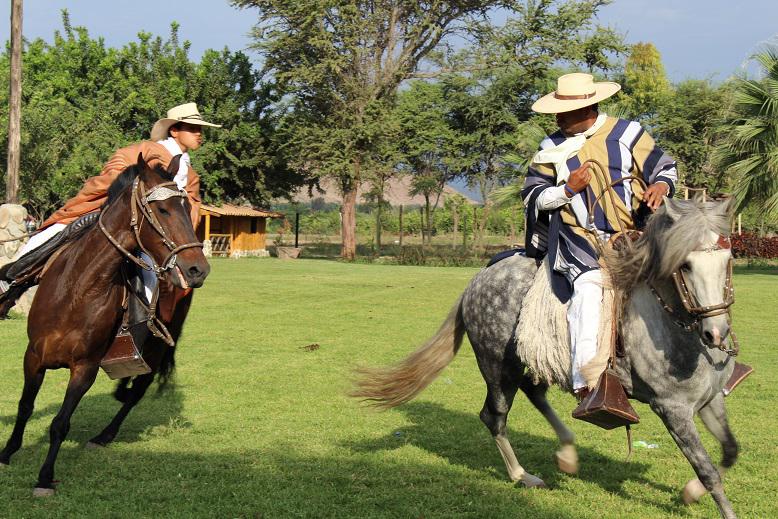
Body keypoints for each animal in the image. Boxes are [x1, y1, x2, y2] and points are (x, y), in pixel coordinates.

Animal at [0, 155, 209, 497]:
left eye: (185, 206)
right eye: (163, 210)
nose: (197, 269)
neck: (79, 288)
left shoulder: (85, 368)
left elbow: (60, 423)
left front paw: (45, 477)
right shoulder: (33, 357)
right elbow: (25, 406)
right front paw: (7, 453)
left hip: (155, 349)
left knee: (138, 391)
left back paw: (104, 435)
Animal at [353, 198, 742, 519]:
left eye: (728, 260)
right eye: (685, 265)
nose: (717, 333)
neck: (673, 327)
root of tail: (476, 281)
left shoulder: (711, 402)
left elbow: (730, 451)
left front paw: (689, 493)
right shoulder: (672, 409)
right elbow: (708, 470)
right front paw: (706, 498)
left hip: (522, 361)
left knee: (534, 391)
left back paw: (567, 453)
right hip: (498, 365)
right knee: (494, 415)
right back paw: (522, 474)